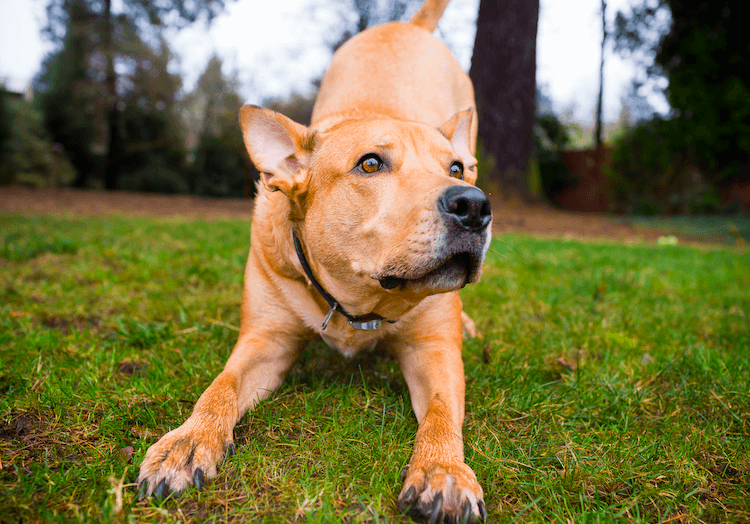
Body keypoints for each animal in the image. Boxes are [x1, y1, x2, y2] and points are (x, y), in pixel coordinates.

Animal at [139, 1, 494, 520]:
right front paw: (188, 440)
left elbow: (441, 414)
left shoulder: (434, 350)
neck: (359, 298)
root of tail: (406, 27)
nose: (474, 205)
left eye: (454, 169)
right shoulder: (266, 340)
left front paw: (442, 469)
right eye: (370, 164)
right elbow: (219, 388)